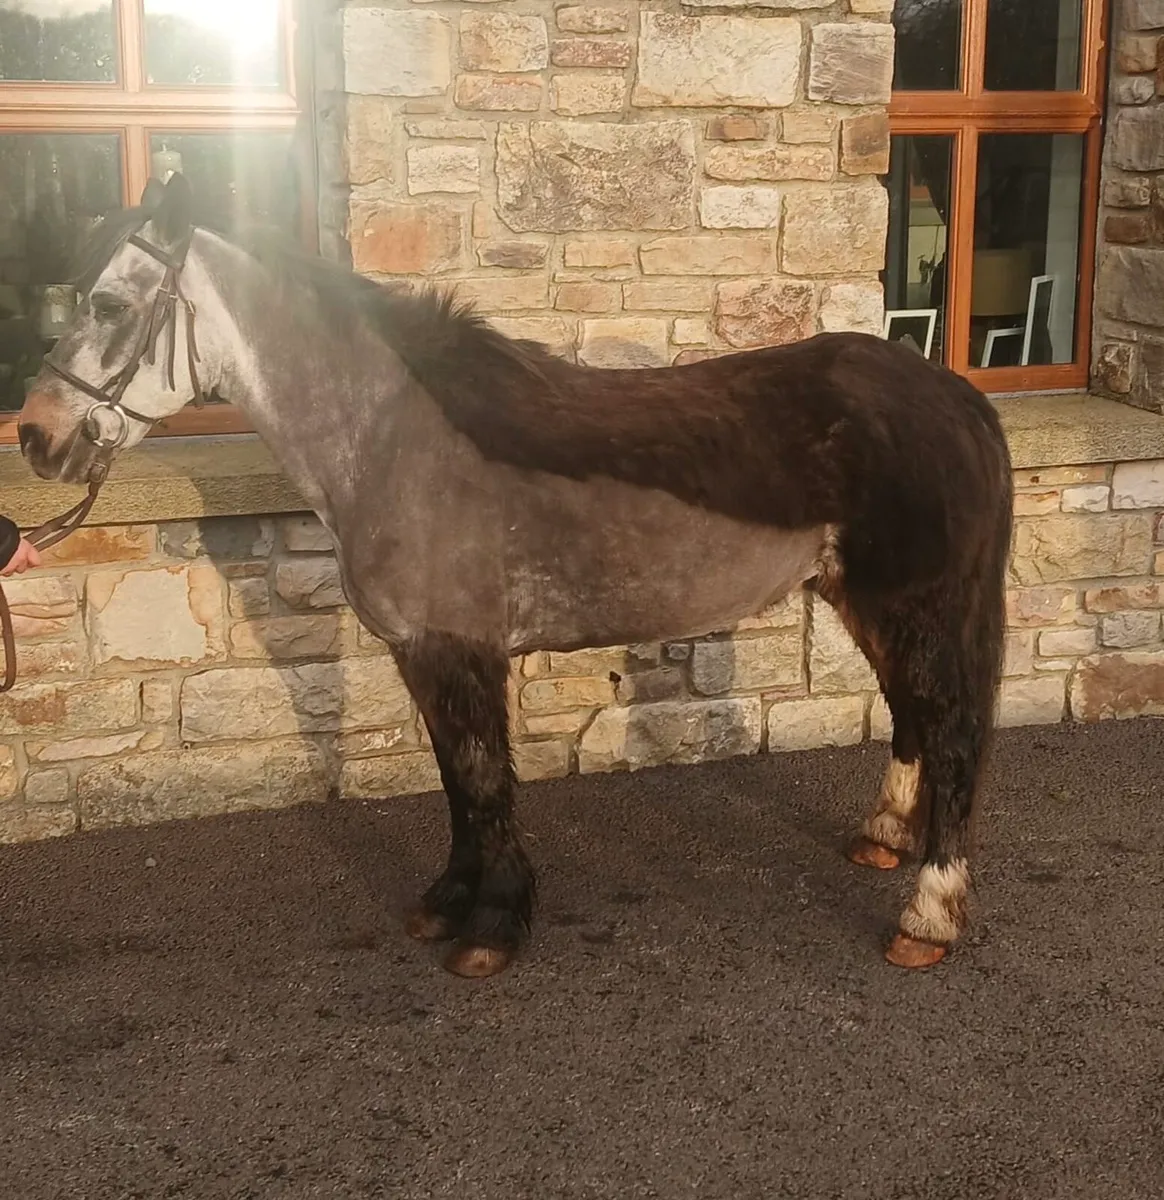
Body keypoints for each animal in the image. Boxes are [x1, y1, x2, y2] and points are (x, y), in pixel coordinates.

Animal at [18, 174, 1014, 979]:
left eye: (108, 305)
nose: (35, 435)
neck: (394, 440)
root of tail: (955, 394)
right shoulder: (421, 652)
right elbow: (459, 784)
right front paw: (447, 902)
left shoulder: (461, 649)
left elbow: (485, 780)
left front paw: (491, 927)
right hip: (860, 597)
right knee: (914, 716)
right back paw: (880, 841)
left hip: (915, 603)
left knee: (954, 731)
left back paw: (926, 917)